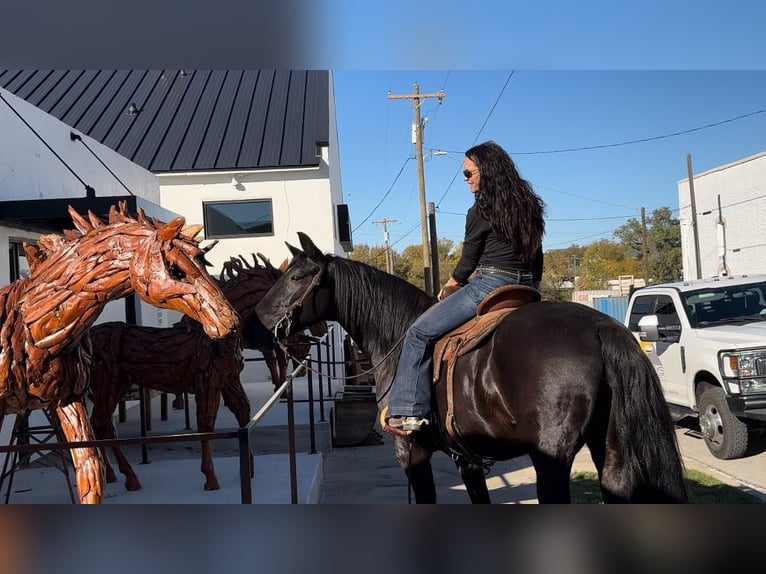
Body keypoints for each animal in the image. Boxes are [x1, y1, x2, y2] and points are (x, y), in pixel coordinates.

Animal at [256, 234, 688, 504]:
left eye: (297, 277)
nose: (257, 318)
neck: (398, 334)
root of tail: (600, 326)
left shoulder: (411, 452)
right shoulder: (468, 460)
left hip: (550, 459)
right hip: (611, 452)